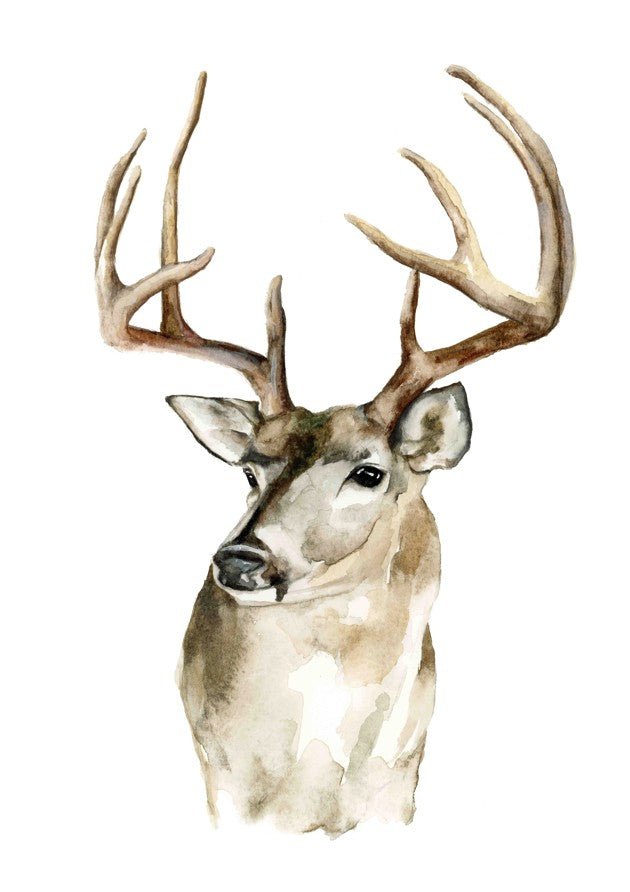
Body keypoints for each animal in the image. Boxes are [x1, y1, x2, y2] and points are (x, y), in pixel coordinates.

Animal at [95, 66, 573, 835]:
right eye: (249, 470)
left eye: (369, 472)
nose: (240, 558)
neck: (314, 785)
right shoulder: (223, 790)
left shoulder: (399, 788)